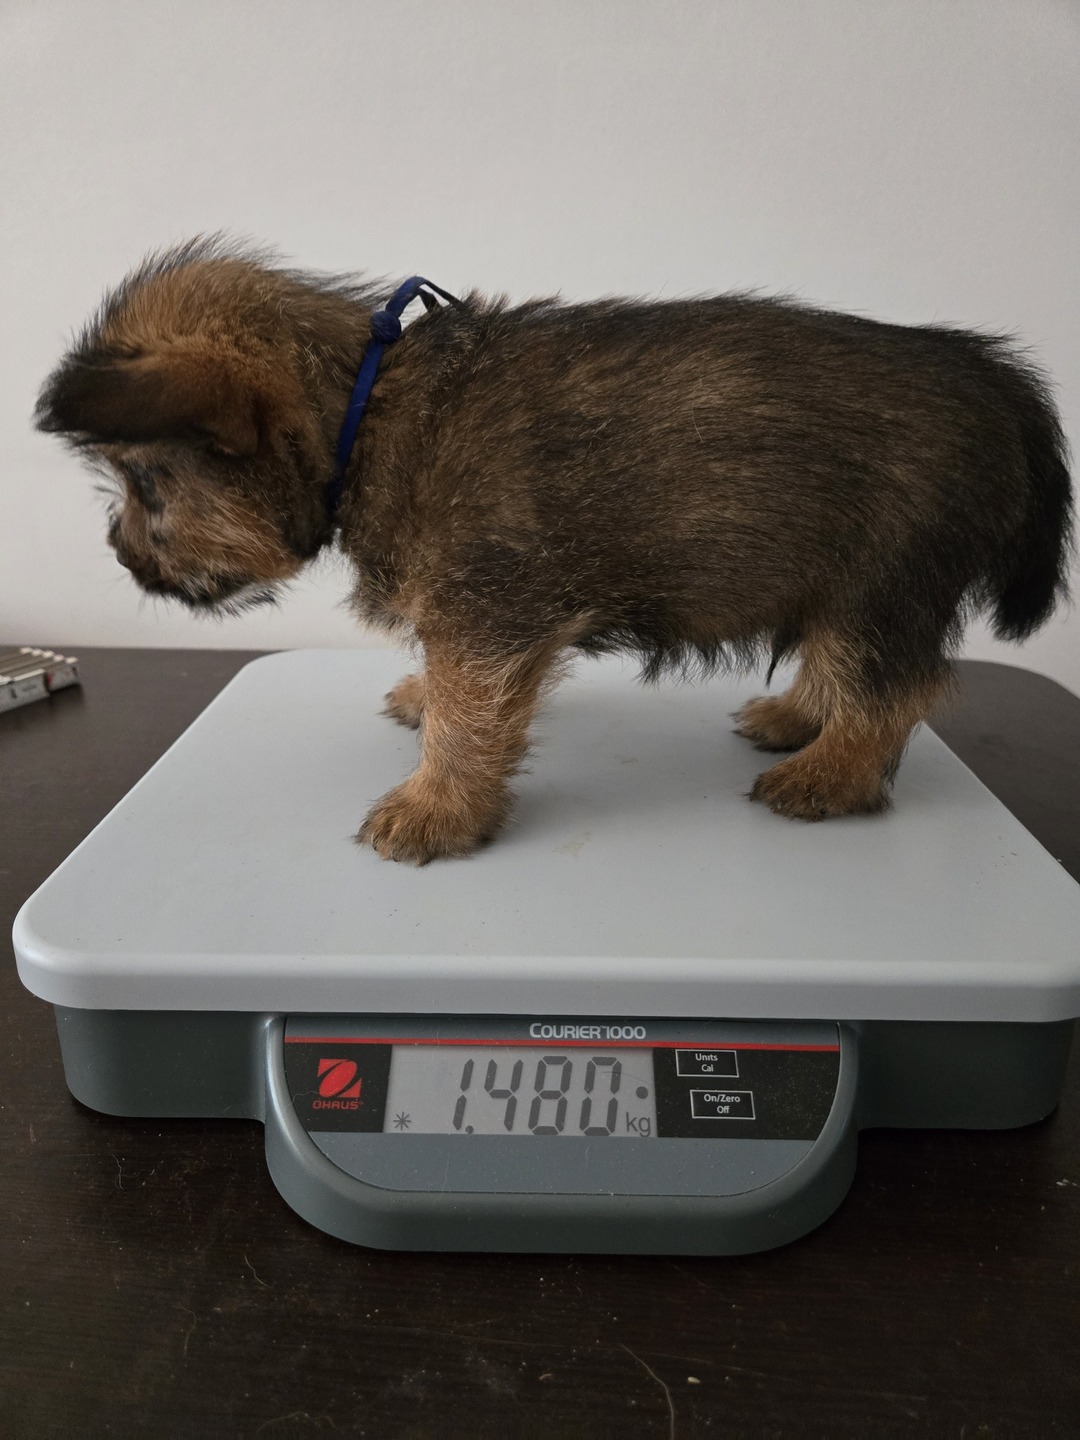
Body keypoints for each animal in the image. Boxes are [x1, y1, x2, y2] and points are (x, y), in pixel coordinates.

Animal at [35, 239, 1073, 863]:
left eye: (148, 485)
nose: (121, 557)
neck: (369, 413)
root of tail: (996, 381)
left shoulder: (486, 611)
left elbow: (471, 717)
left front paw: (435, 808)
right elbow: (453, 692)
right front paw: (421, 705)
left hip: (885, 579)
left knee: (898, 687)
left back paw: (831, 776)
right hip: (845, 580)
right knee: (845, 665)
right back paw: (797, 718)